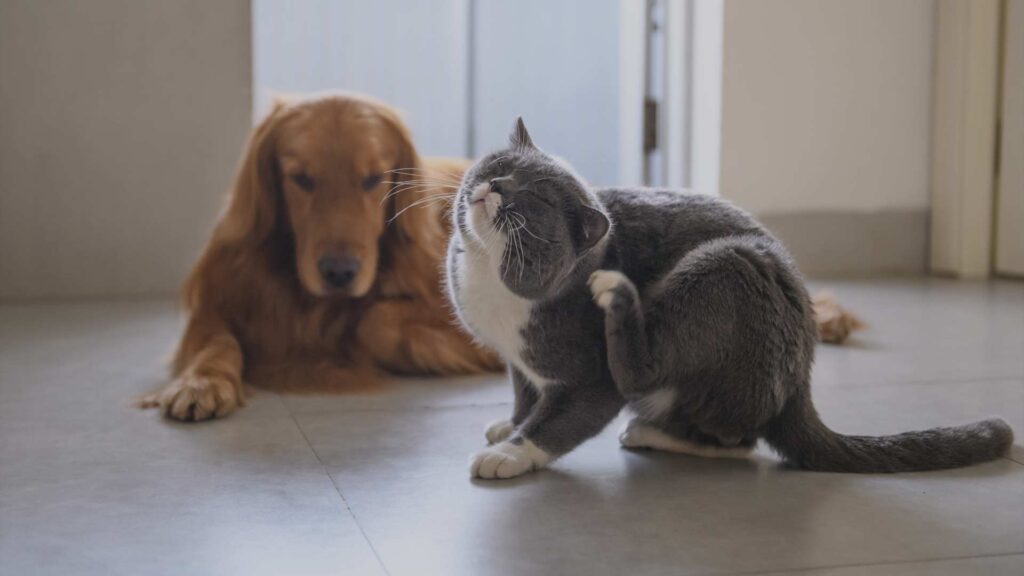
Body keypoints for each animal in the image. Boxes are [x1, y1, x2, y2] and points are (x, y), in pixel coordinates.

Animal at [139, 91, 499, 420]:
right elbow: (216, 341)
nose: (339, 273)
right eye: (301, 178)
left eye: (373, 179)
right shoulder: (218, 303)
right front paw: (202, 383)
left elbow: (374, 321)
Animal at [444, 117, 1011, 479]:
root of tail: (801, 382)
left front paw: (511, 455)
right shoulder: (519, 361)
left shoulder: (588, 378)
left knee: (726, 434)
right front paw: (509, 425)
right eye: (500, 164)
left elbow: (562, 419)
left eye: (534, 198)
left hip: (724, 269)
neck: (488, 277)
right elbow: (525, 397)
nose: (495, 185)